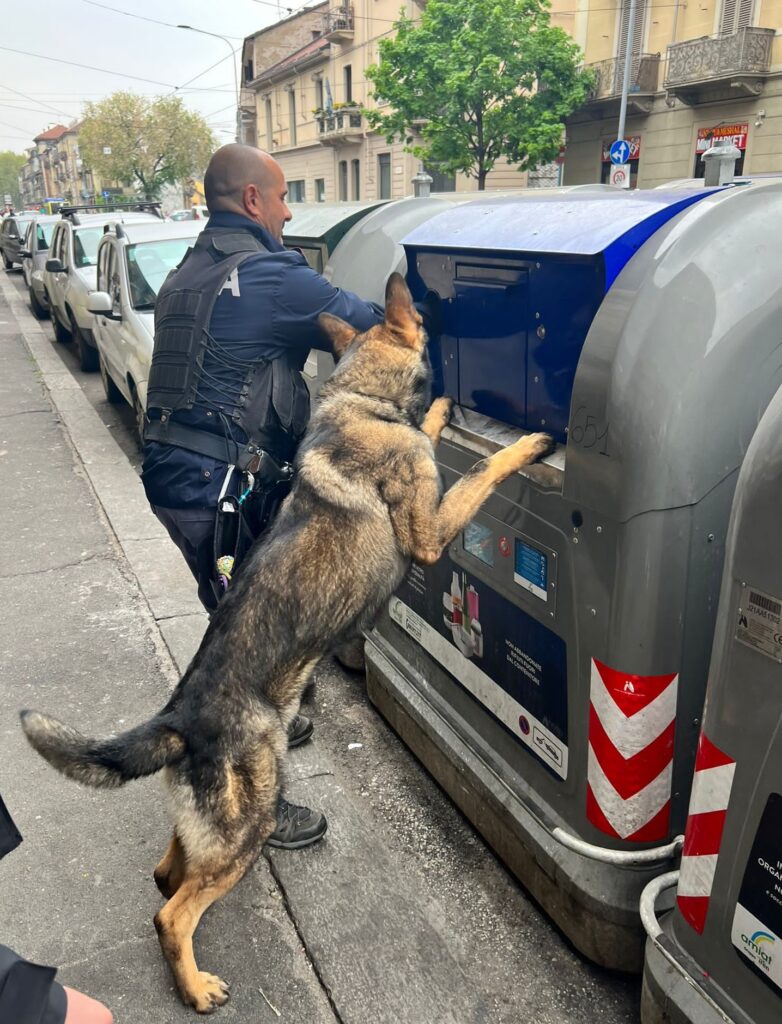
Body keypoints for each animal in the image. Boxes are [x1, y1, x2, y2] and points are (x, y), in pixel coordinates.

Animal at [21, 274, 552, 1015]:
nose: (433, 302)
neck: (360, 399)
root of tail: (179, 718)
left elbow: (429, 427)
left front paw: (442, 410)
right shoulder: (427, 534)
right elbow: (480, 475)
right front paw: (522, 445)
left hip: (219, 821)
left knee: (166, 870)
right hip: (250, 820)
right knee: (172, 912)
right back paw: (194, 988)